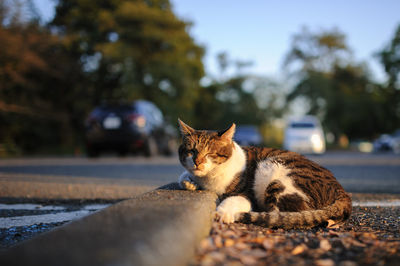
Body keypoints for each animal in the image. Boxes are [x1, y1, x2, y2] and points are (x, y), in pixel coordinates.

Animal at [177, 120, 352, 229]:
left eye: (210, 153)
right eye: (191, 151)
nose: (197, 162)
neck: (209, 179)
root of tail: (343, 192)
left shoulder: (247, 194)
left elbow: (233, 200)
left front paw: (222, 213)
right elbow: (182, 177)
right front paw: (189, 182)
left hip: (273, 173)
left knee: (284, 215)